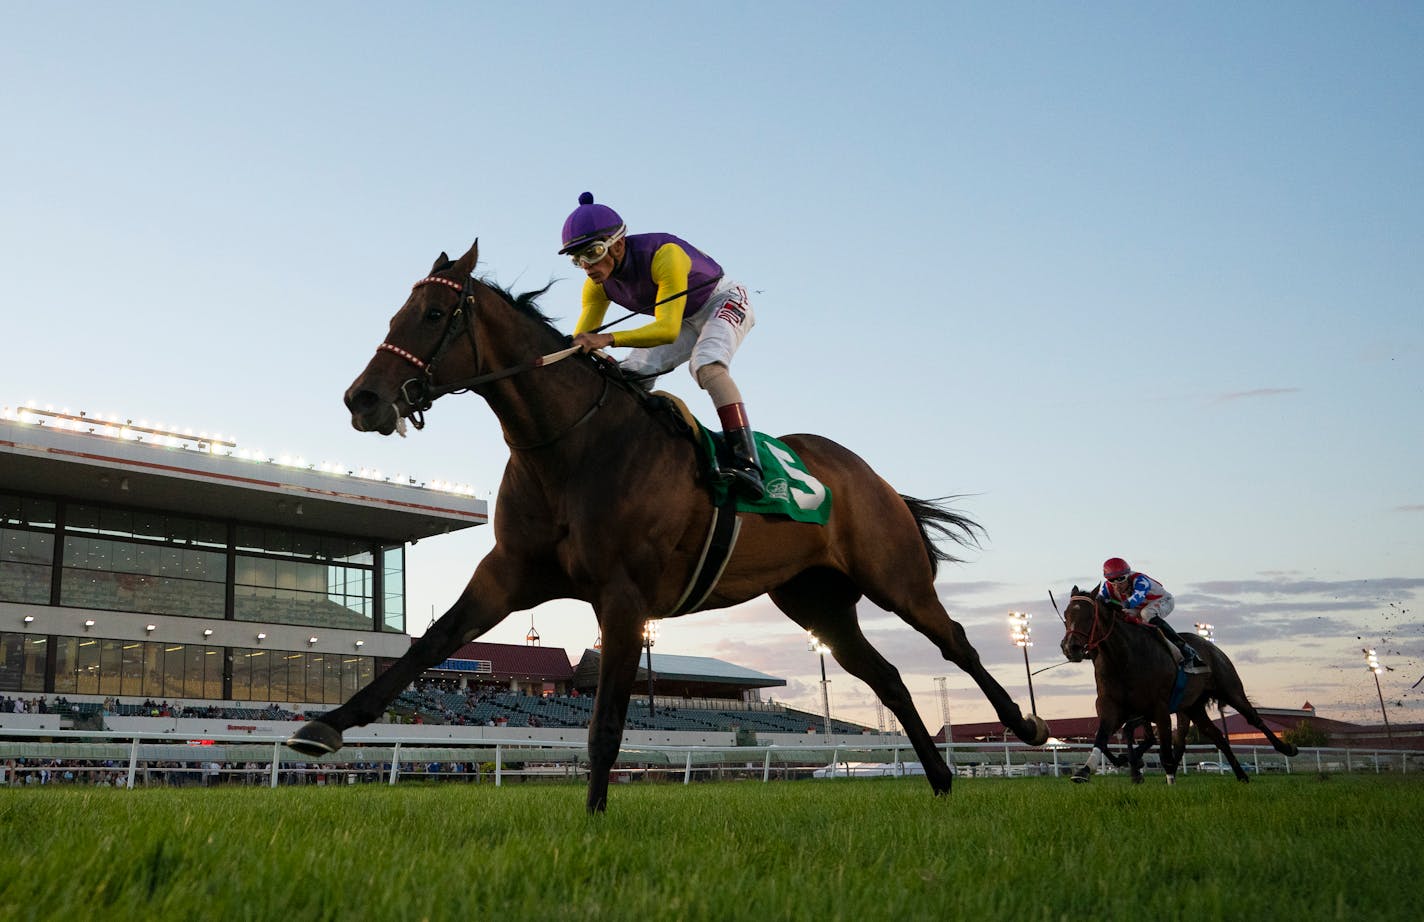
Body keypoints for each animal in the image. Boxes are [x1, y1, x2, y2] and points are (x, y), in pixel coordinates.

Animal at [286, 242, 1048, 809]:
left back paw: (1025, 724)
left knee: (956, 644)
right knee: (888, 675)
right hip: (817, 600)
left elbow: (606, 724)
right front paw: (323, 725)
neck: (570, 446)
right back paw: (941, 781)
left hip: (894, 577)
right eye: (399, 311)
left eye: (435, 312)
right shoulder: (508, 574)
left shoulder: (623, 597)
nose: (363, 398)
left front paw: (593, 821)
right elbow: (428, 645)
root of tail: (869, 475)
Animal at [1059, 587, 1304, 780]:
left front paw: (1152, 771)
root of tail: (1211, 647)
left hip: (1230, 690)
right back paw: (1242, 776)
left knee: (1253, 718)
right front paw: (1086, 770)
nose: (1070, 647)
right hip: (1193, 706)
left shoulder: (1158, 708)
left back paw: (1286, 748)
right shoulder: (1112, 706)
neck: (1123, 658)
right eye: (1066, 614)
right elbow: (1102, 737)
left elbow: (1160, 747)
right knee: (1217, 736)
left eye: (1089, 615)